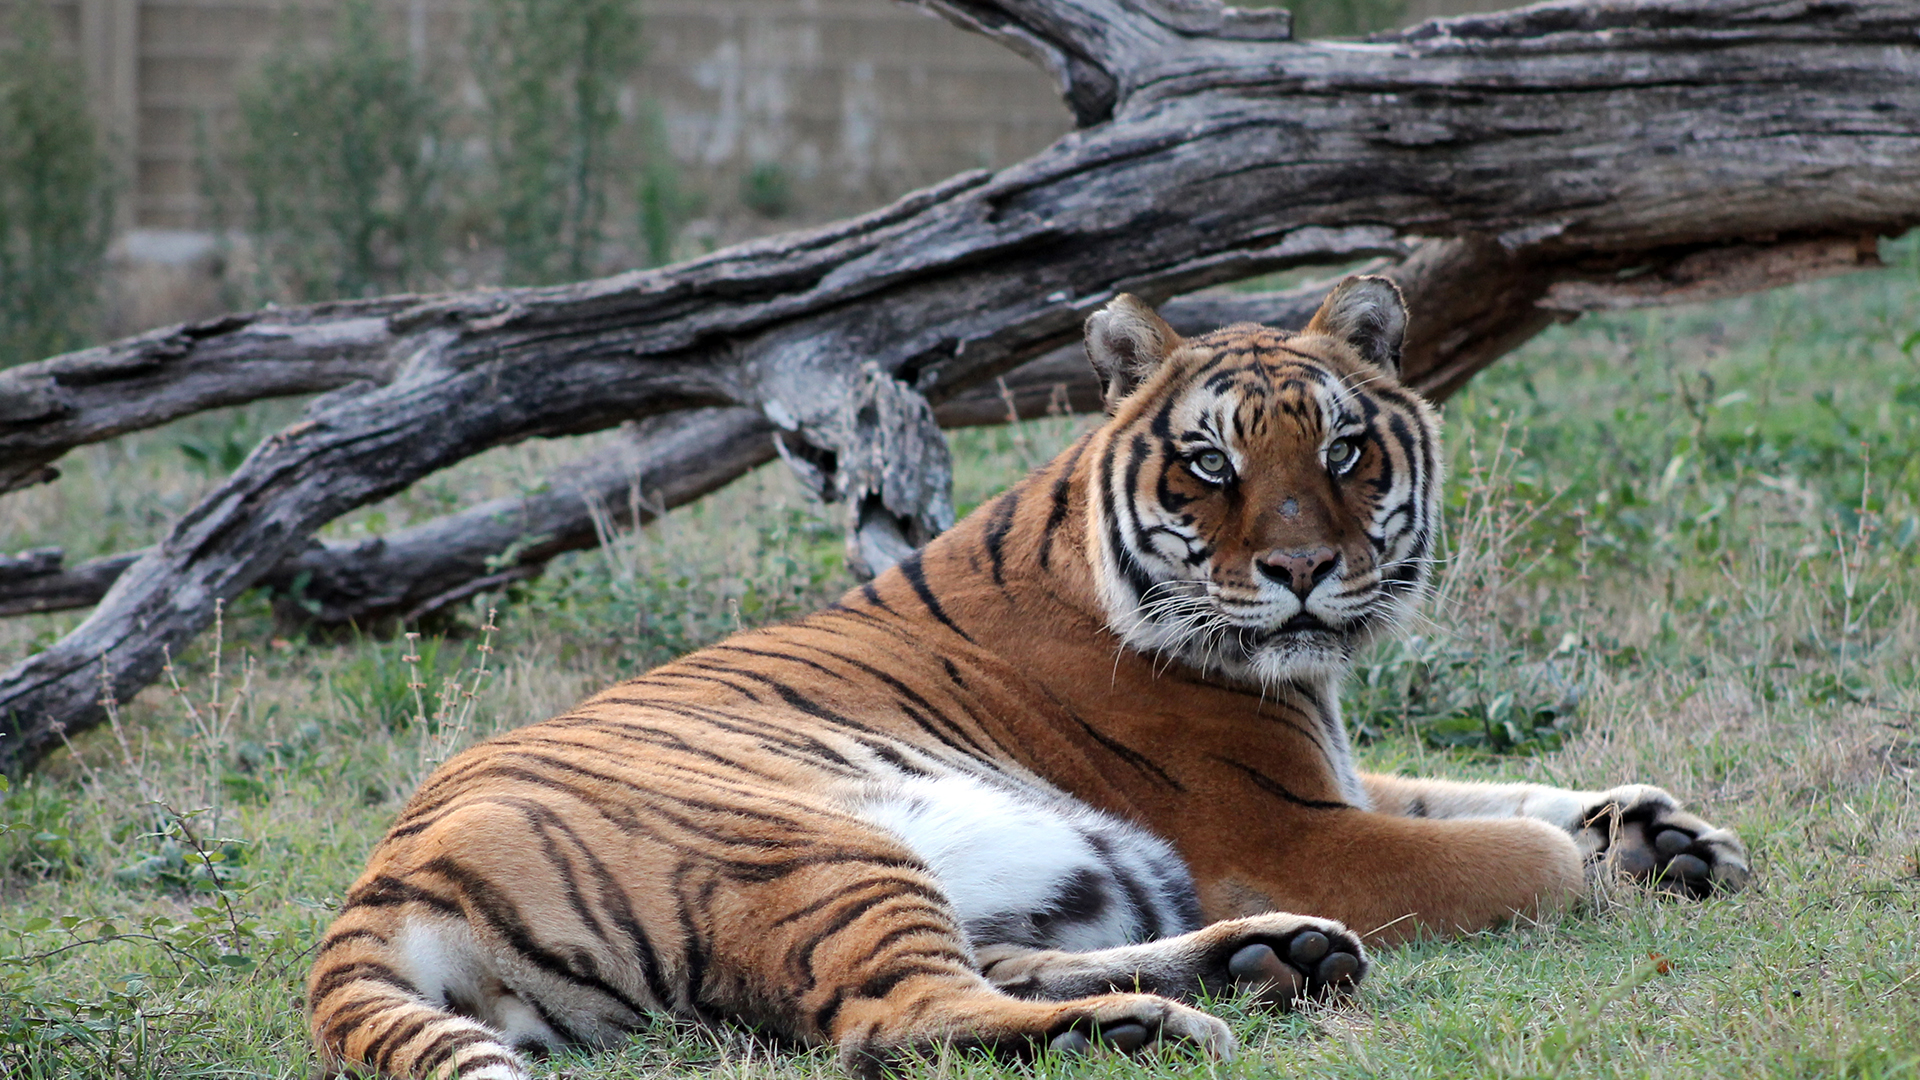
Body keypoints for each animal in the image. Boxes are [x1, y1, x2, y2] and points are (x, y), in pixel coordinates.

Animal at [303, 276, 1758, 1076]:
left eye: (1344, 451)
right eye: (1213, 463)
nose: (1300, 571)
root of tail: (381, 880)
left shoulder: (1335, 774)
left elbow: (1492, 786)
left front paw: (1668, 834)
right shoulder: (1292, 829)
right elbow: (1520, 853)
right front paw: (1608, 863)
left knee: (994, 972)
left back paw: (1264, 963)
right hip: (819, 846)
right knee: (894, 1021)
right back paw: (1155, 1027)